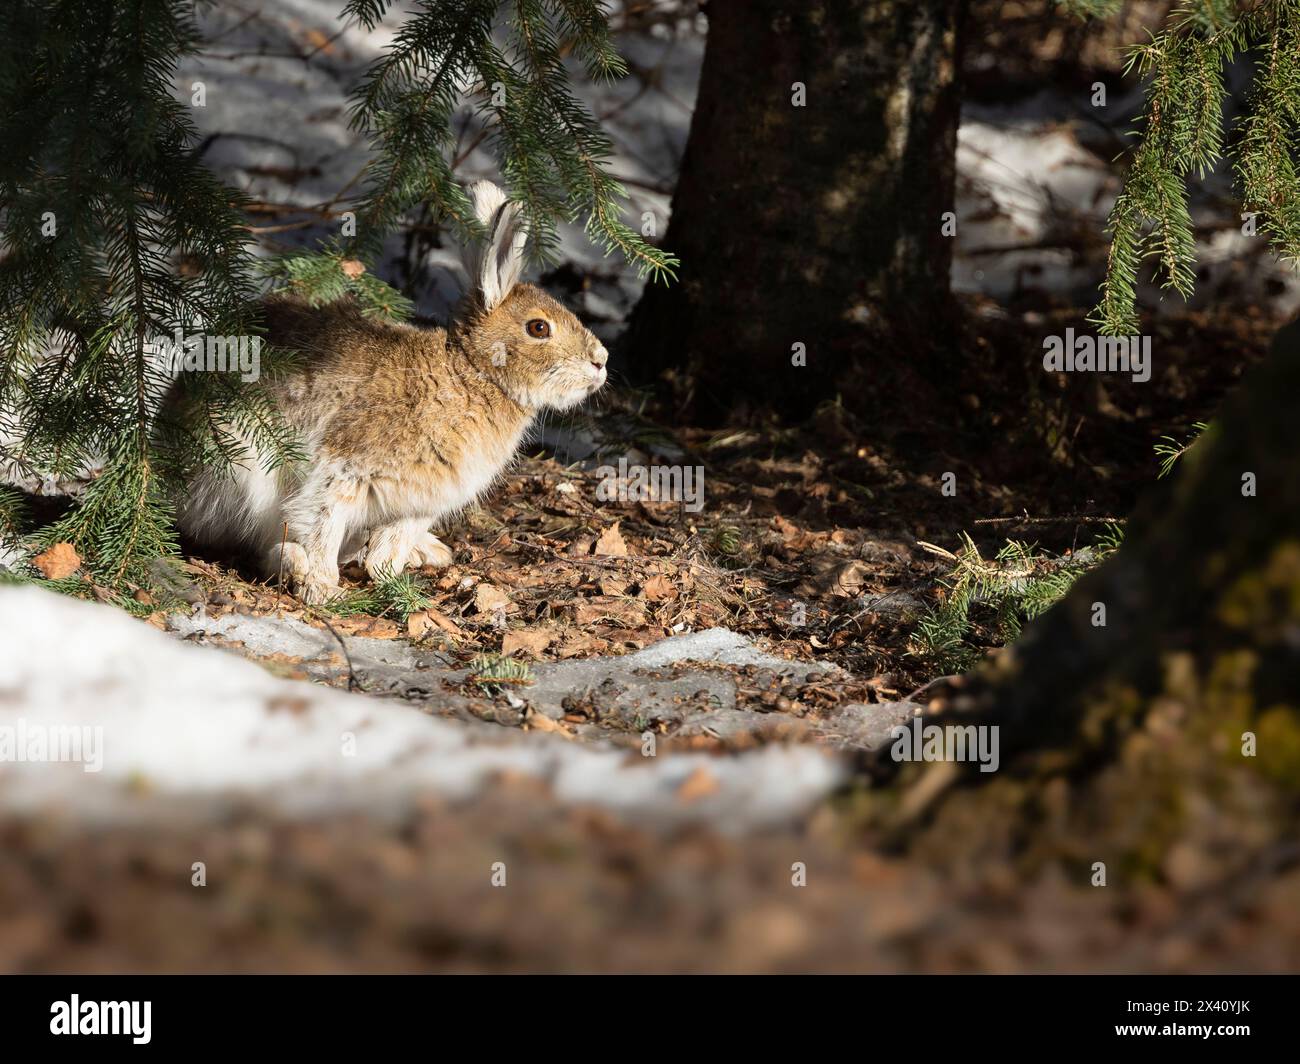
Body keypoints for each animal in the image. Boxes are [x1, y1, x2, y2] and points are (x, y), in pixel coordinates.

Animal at [174, 180, 608, 604]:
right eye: (538, 328)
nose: (600, 361)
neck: (471, 371)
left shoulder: (419, 504)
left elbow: (391, 542)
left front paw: (386, 571)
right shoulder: (341, 469)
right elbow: (321, 522)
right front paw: (322, 585)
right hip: (243, 466)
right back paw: (296, 566)